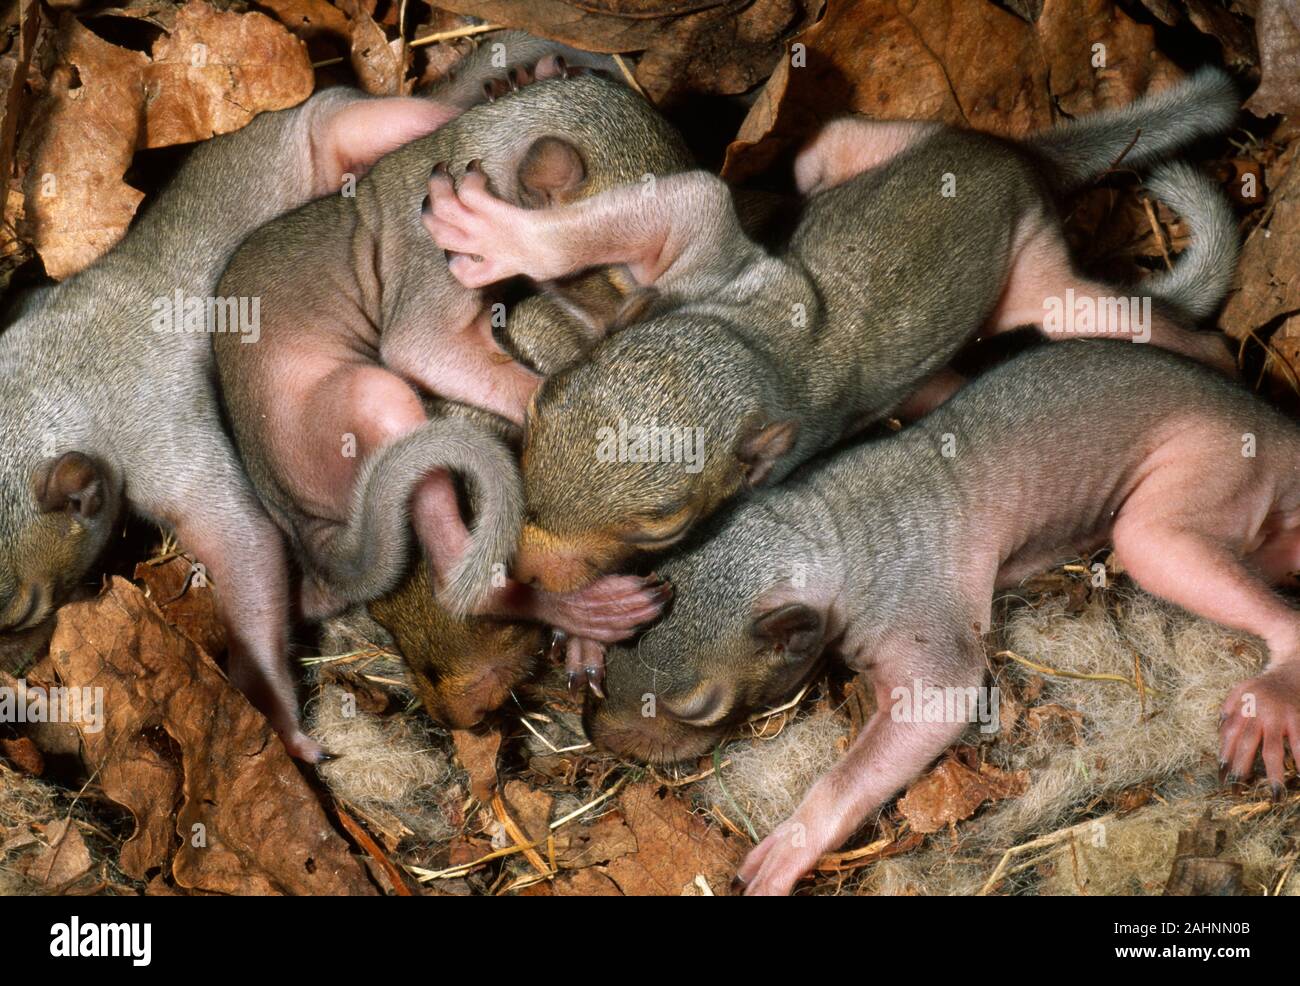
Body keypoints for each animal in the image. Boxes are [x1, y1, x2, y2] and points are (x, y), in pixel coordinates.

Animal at [0, 35, 564, 761]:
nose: (12, 676)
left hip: (336, 124)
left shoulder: (156, 432)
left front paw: (269, 711)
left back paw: (513, 86)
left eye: (23, 609)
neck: (52, 369)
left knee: (418, 117)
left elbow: (244, 540)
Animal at [422, 67, 1241, 609]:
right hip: (853, 147)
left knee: (1119, 320)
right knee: (829, 146)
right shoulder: (721, 266)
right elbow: (692, 200)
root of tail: (1012, 157)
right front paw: (502, 235)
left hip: (1038, 269)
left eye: (664, 526)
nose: (524, 570)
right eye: (545, 406)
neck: (763, 350)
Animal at [585, 338, 1300, 895]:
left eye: (697, 707)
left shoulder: (916, 603)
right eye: (620, 649)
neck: (820, 527)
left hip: (1211, 465)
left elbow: (937, 701)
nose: (596, 734)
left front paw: (794, 841)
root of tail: (1274, 422)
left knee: (1181, 554)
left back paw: (1270, 695)